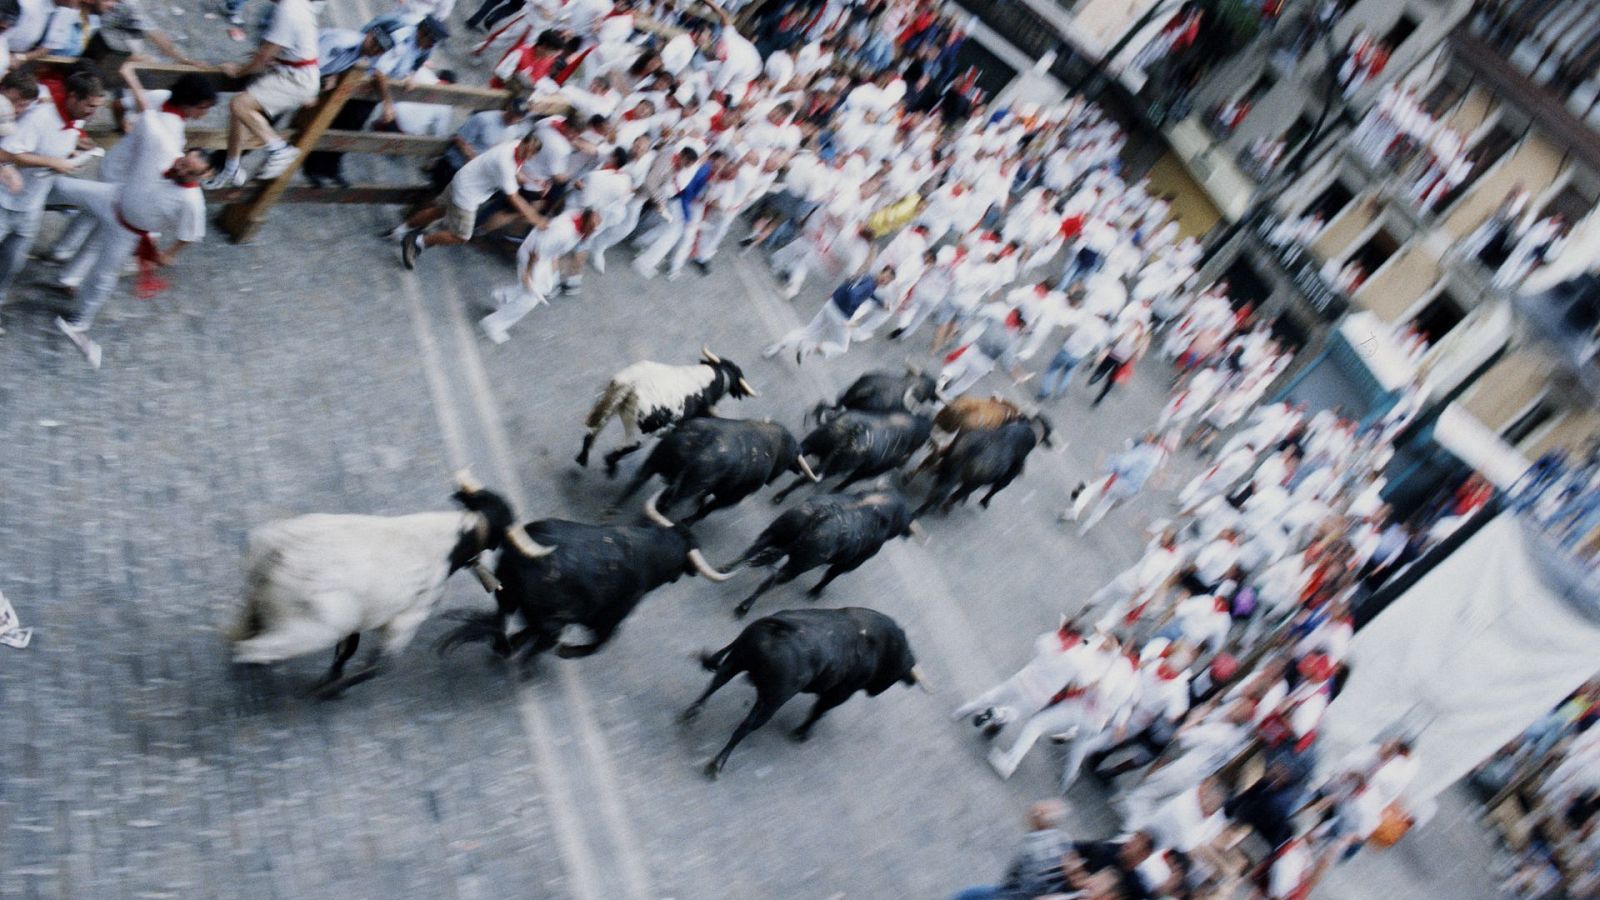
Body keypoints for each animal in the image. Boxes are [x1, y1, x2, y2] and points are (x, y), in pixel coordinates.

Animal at [441, 515, 732, 656]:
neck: (650, 551)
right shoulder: (611, 617)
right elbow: (602, 641)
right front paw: (567, 651)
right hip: (553, 617)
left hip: (509, 596)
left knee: (503, 620)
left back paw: (505, 647)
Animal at [684, 605, 934, 775]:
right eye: (900, 672)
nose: (875, 692)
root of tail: (779, 627)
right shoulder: (839, 695)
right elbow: (818, 711)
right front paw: (802, 733)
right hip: (771, 700)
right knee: (745, 727)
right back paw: (717, 763)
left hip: (735, 661)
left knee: (716, 682)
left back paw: (691, 713)